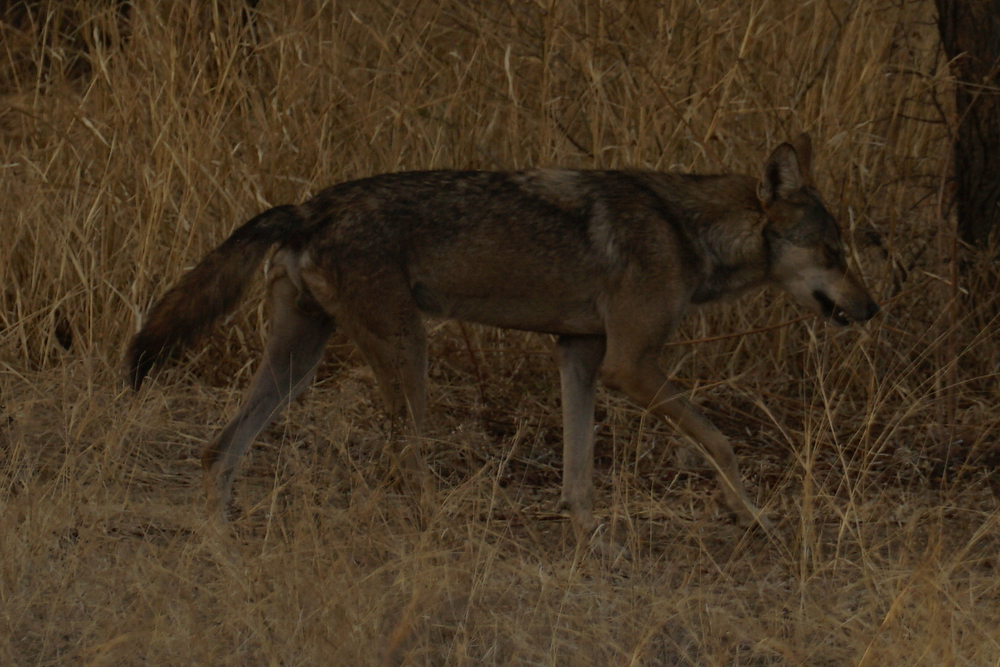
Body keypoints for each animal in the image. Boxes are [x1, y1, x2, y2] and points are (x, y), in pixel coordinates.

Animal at [127, 133, 878, 539]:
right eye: (834, 252)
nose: (872, 309)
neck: (687, 230)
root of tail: (310, 206)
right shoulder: (630, 365)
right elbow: (718, 439)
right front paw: (753, 514)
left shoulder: (579, 354)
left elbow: (578, 469)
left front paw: (590, 535)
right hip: (409, 354)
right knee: (403, 465)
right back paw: (436, 531)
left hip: (299, 364)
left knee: (217, 450)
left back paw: (221, 535)